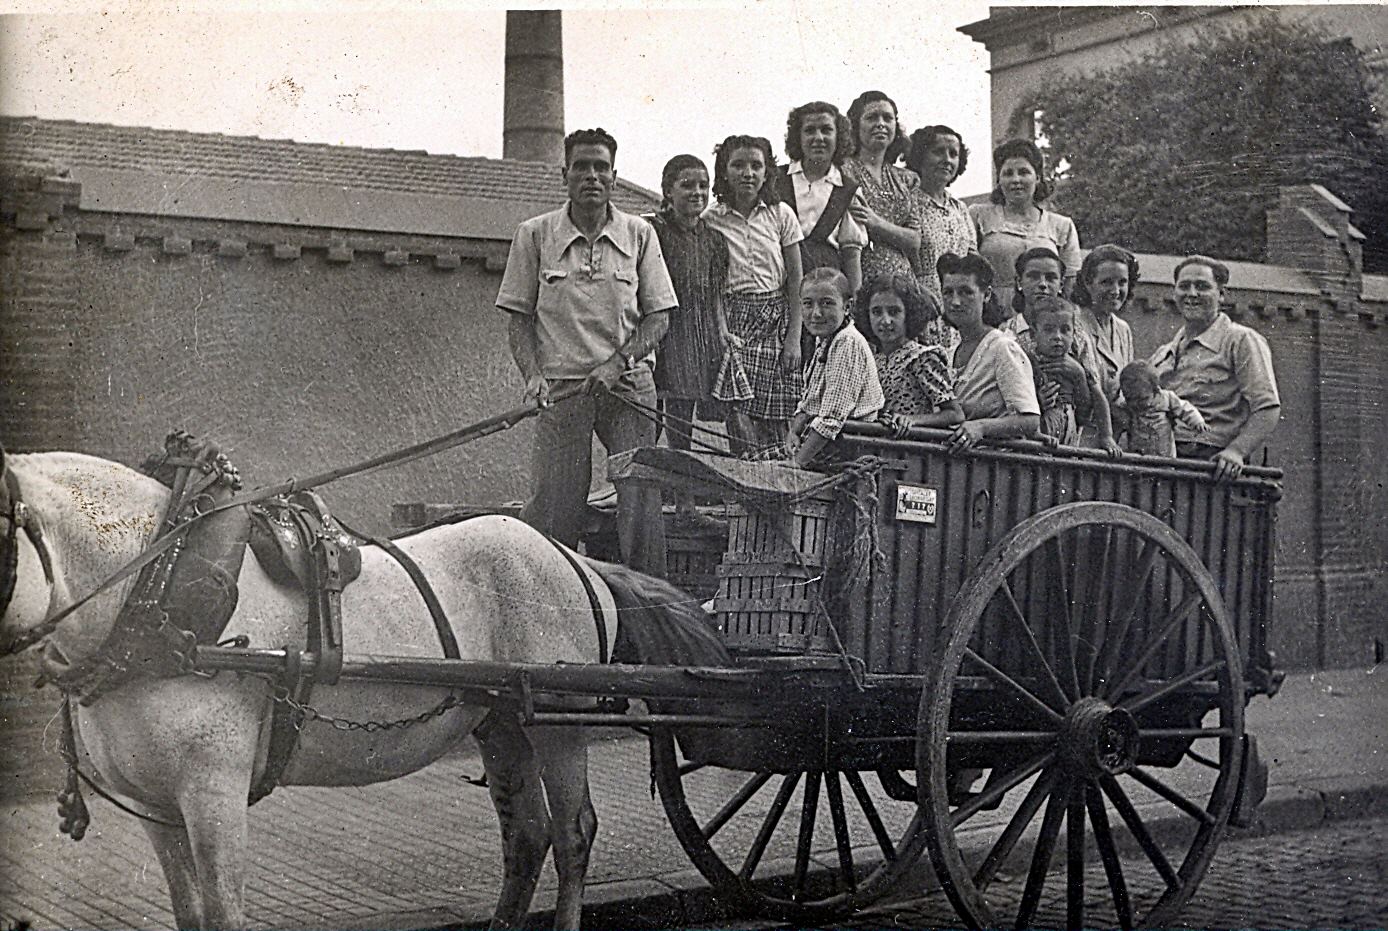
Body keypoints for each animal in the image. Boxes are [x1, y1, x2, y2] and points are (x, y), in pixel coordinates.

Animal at [0, 446, 732, 926]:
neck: (156, 588)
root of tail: (573, 557)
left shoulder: (213, 793)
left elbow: (223, 911)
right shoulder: (154, 806)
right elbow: (189, 913)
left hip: (559, 721)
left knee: (575, 835)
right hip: (501, 720)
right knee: (527, 836)